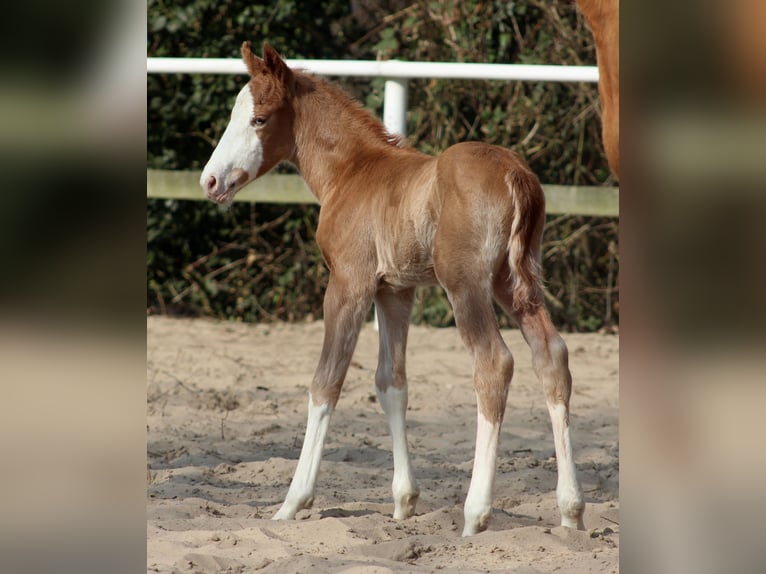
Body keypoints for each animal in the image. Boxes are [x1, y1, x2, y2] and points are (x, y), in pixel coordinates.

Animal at [201, 42, 584, 536]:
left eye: (260, 119)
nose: (210, 182)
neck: (352, 171)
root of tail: (515, 174)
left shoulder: (348, 283)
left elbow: (326, 382)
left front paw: (292, 503)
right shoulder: (394, 291)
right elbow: (391, 382)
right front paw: (404, 503)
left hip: (466, 285)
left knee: (494, 364)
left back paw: (475, 516)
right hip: (514, 284)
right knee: (551, 356)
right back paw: (570, 511)